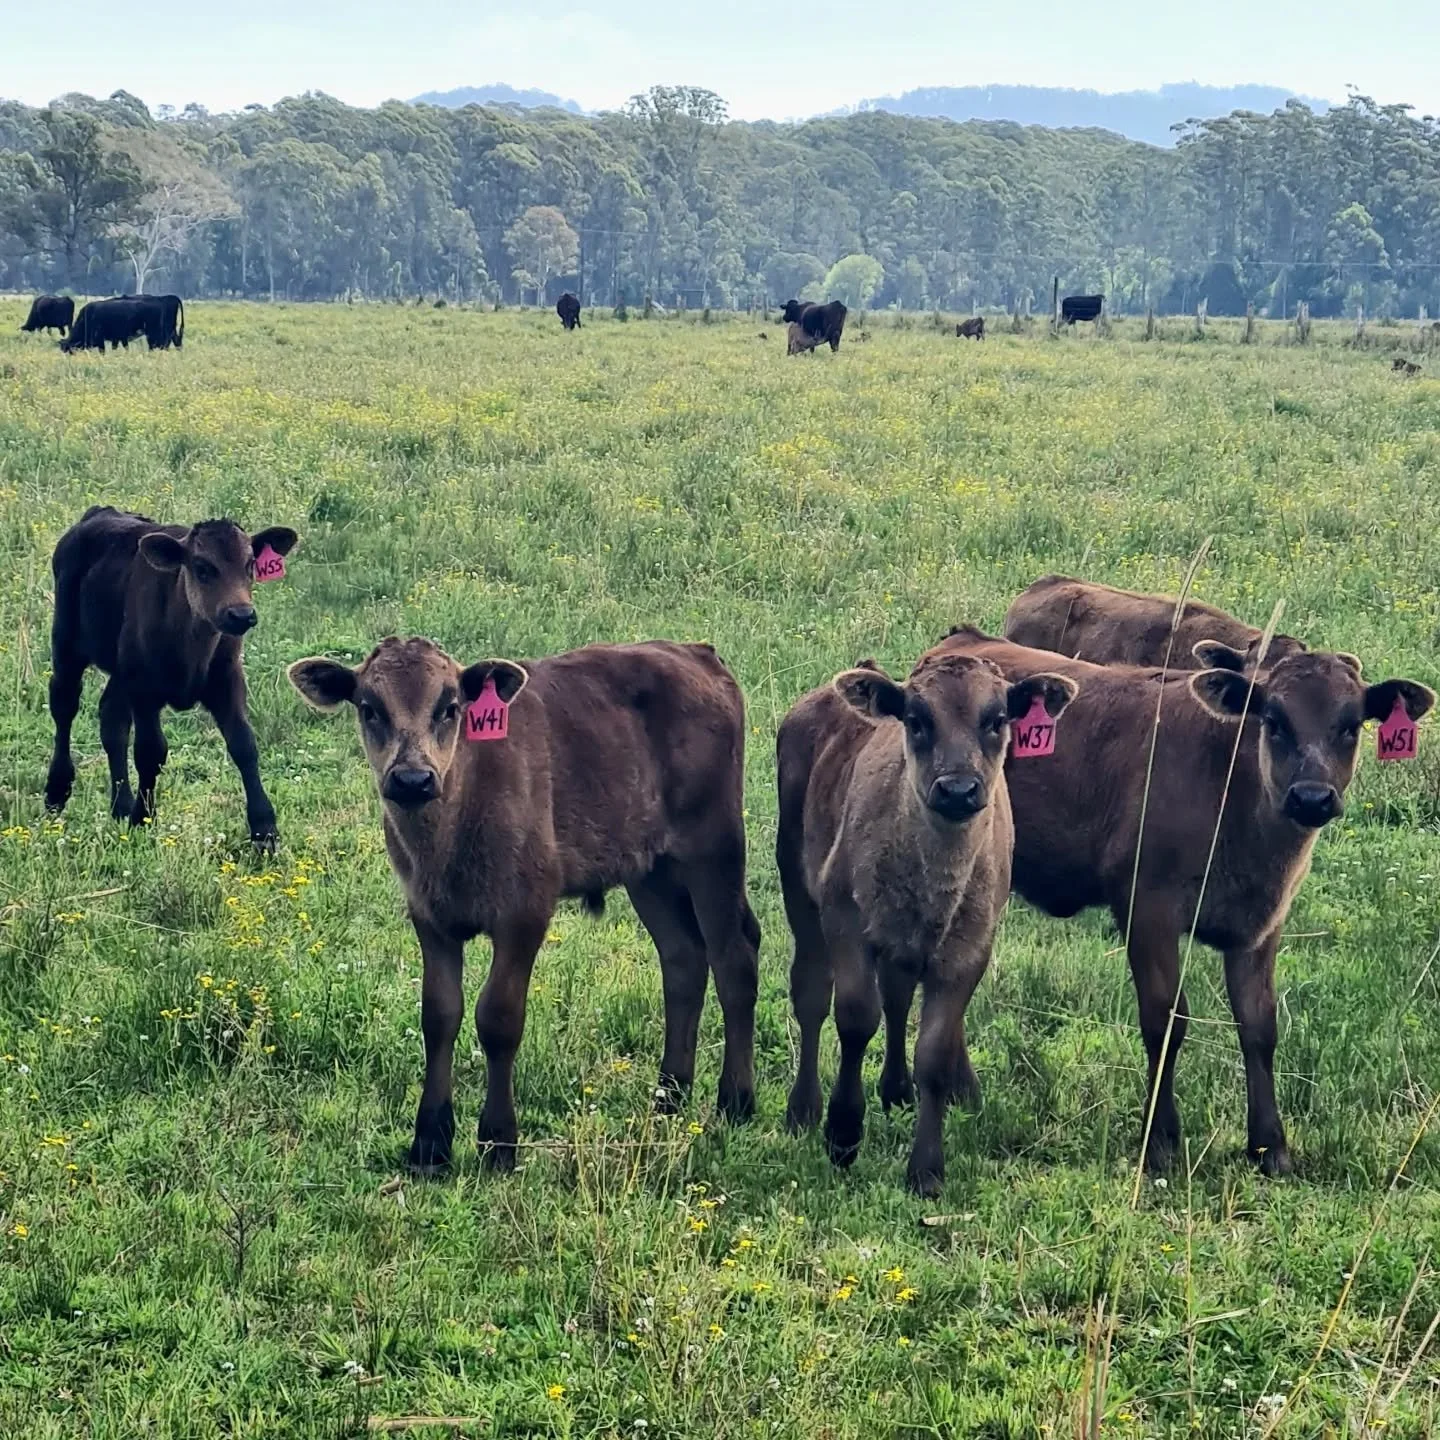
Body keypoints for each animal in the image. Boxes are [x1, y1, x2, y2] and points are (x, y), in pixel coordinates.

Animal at [44, 506, 299, 847]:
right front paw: (142, 817)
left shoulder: (228, 679)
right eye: (202, 568)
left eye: (250, 565)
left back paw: (120, 805)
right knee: (64, 705)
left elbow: (244, 744)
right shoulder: (143, 688)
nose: (241, 614)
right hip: (67, 643)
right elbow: (151, 750)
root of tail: (100, 512)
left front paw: (264, 829)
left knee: (111, 717)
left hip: (121, 670)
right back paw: (57, 791)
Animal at [287, 637, 762, 1174]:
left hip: (714, 849)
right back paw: (670, 1095)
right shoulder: (429, 915)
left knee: (734, 958)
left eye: (450, 707)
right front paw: (430, 1143)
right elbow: (439, 1015)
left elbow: (498, 1018)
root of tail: (695, 652)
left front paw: (498, 1141)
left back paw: (736, 1100)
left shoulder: (526, 912)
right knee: (683, 960)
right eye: (369, 708)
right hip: (651, 870)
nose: (412, 779)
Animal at [779, 652, 1075, 1193]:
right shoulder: (845, 921)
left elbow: (934, 1054)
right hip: (798, 884)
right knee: (811, 995)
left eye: (996, 720)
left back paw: (896, 1090)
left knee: (897, 997)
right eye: (916, 720)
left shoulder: (969, 950)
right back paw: (803, 1109)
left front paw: (927, 1170)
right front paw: (843, 1132)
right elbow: (856, 1019)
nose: (958, 789)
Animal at [929, 626, 1433, 1176]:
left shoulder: (1262, 924)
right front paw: (1162, 1142)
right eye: (1273, 720)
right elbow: (1165, 1020)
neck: (1231, 788)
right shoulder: (1146, 906)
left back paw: (962, 1092)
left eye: (1350, 726)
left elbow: (1259, 1024)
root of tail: (961, 641)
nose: (1311, 797)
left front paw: (1270, 1146)